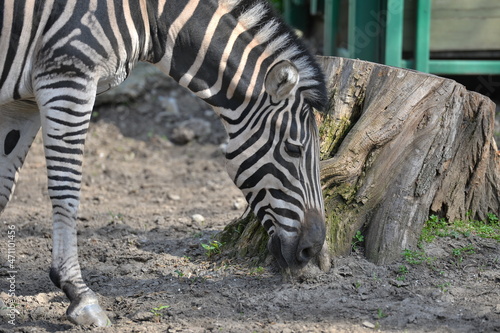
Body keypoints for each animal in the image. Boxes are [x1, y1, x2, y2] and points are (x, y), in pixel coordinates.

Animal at [0, 0, 328, 326]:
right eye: (293, 149)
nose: (312, 249)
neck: (148, 14)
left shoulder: (24, 102)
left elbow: (4, 188)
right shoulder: (66, 79)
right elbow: (66, 188)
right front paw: (79, 295)